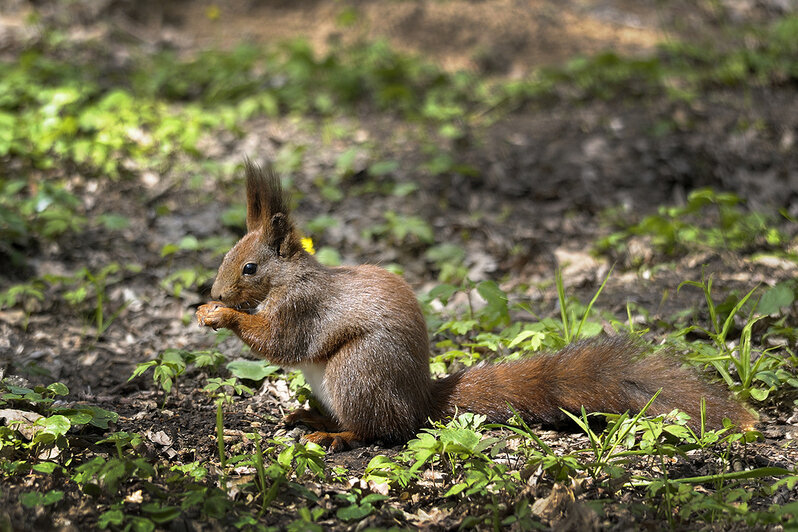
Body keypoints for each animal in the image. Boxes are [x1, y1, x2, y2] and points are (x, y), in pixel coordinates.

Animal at [198, 161, 756, 448]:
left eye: (250, 268)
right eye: (229, 257)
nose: (217, 294)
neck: (290, 276)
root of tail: (419, 399)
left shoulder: (304, 307)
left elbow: (280, 341)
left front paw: (222, 316)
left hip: (356, 372)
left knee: (383, 430)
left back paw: (340, 435)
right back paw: (311, 419)